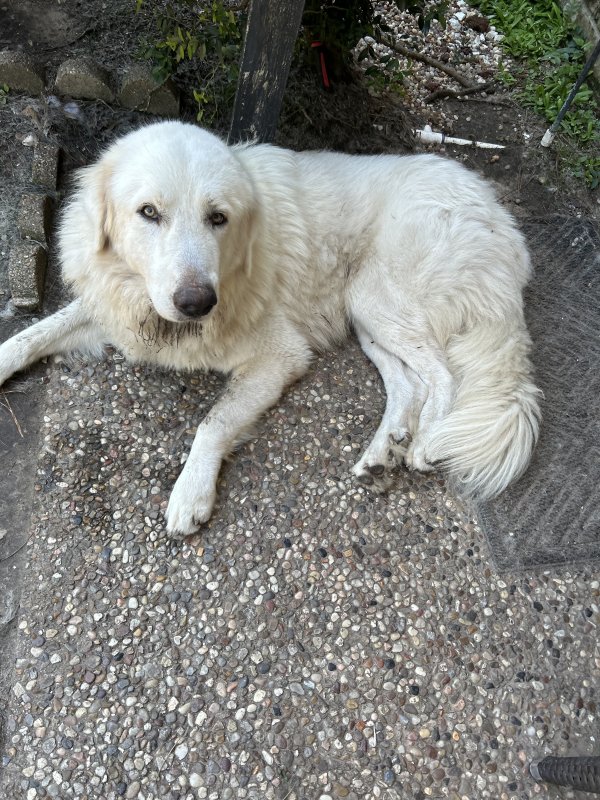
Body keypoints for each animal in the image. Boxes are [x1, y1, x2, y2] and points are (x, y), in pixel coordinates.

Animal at [0, 122, 540, 536]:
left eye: (218, 218)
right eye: (148, 213)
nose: (197, 303)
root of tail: (496, 211)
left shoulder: (281, 355)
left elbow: (213, 422)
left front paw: (190, 493)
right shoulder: (116, 307)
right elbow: (32, 335)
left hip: (377, 297)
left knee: (444, 374)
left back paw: (427, 443)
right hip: (366, 320)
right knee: (410, 381)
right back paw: (384, 451)